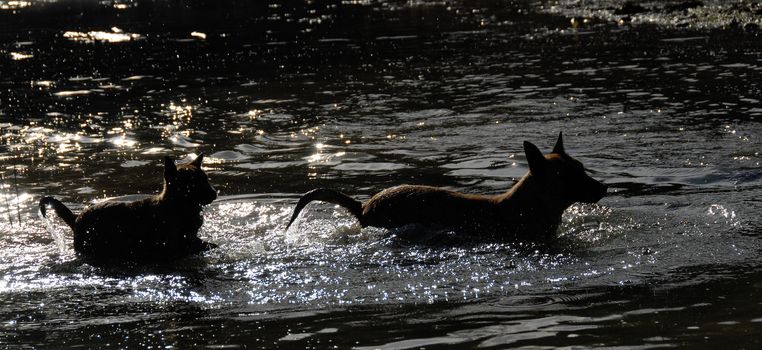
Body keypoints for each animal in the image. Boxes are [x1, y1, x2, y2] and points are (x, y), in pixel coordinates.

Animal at [39, 154, 217, 262]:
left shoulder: (191, 241)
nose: (214, 194)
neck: (178, 208)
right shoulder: (174, 249)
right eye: (193, 183)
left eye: (206, 180)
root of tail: (76, 218)